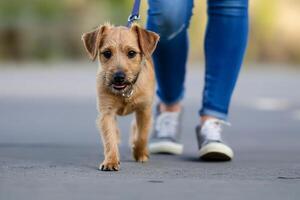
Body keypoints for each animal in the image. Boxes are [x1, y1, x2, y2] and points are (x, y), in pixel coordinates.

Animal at [79, 23, 159, 170]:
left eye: (131, 53)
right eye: (107, 53)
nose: (119, 77)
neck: (125, 93)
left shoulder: (144, 110)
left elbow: (142, 135)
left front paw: (140, 153)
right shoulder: (107, 113)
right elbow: (109, 138)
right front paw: (111, 161)